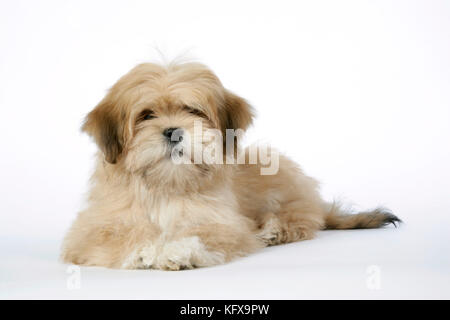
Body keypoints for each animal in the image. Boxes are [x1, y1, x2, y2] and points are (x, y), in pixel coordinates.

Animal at [60, 62, 400, 270]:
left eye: (193, 111)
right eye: (146, 115)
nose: (173, 132)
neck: (167, 185)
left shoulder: (221, 225)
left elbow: (198, 236)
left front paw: (175, 251)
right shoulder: (92, 231)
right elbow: (124, 238)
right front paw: (149, 250)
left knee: (302, 219)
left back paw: (273, 230)